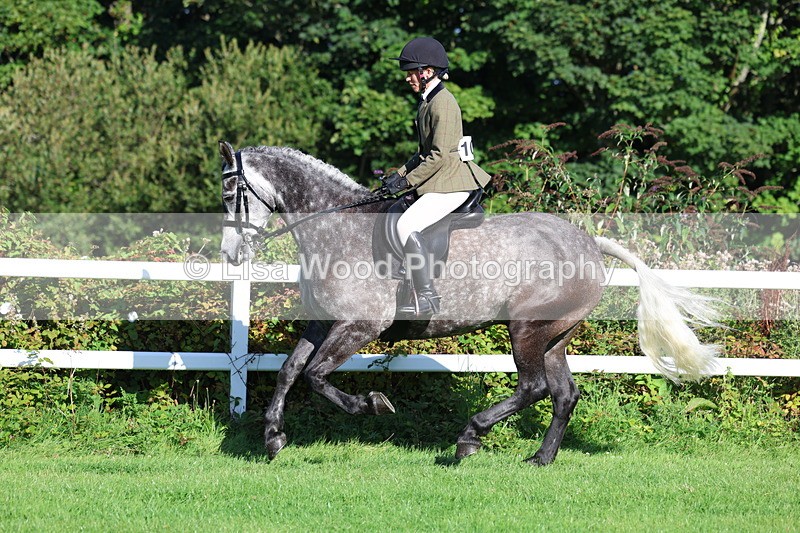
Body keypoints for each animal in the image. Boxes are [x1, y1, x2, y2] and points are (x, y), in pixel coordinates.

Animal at [218, 141, 720, 465]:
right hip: (555, 336)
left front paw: (373, 405)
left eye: (229, 194)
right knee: (563, 393)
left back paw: (469, 438)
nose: (230, 256)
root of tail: (589, 243)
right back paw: (540, 458)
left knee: (533, 387)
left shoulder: (360, 325)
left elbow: (317, 376)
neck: (337, 227)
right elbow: (289, 371)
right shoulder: (323, 323)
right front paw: (273, 437)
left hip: (526, 328)